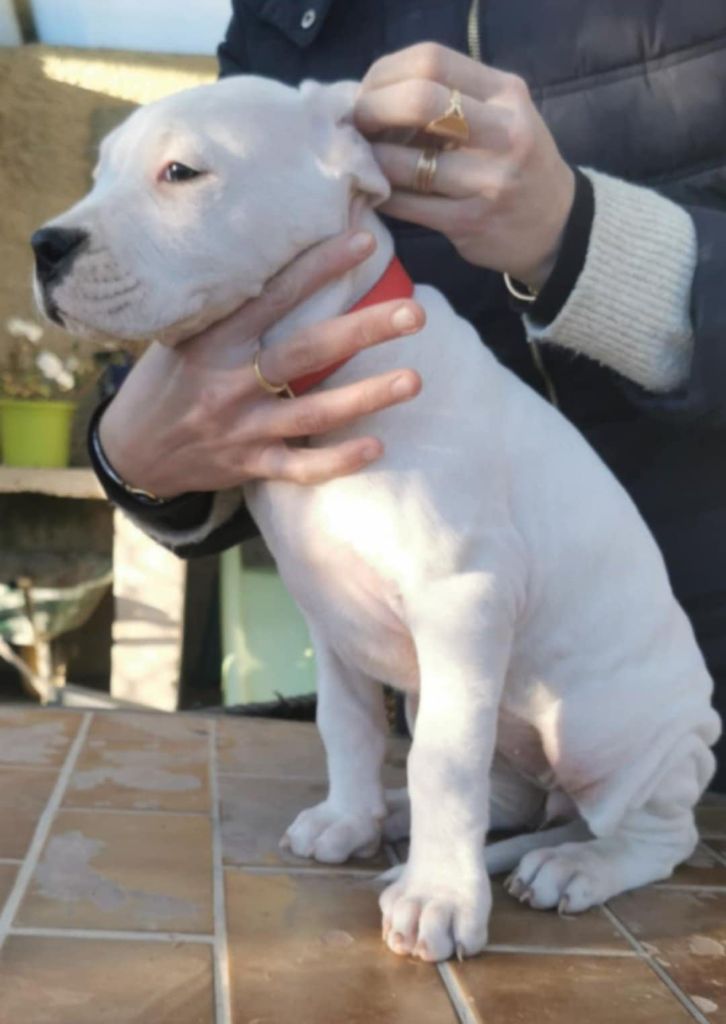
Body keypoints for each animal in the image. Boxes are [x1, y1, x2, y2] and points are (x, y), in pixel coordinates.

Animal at [34, 75, 720, 962]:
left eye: (181, 172)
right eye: (100, 173)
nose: (44, 246)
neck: (327, 370)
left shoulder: (463, 600)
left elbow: (443, 766)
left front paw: (440, 899)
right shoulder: (329, 612)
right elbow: (350, 727)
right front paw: (352, 818)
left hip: (605, 732)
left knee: (655, 833)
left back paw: (580, 864)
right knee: (511, 798)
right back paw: (407, 821)